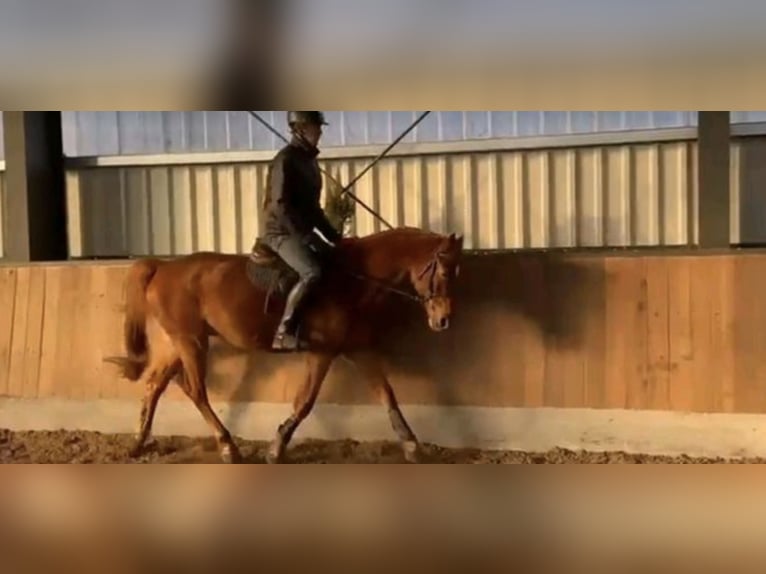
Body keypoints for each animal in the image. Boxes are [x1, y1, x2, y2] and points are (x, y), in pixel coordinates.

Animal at [106, 227, 468, 466]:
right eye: (443, 271)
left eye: (456, 272)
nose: (443, 320)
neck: (353, 279)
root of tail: (163, 267)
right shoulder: (322, 352)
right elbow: (305, 401)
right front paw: (276, 448)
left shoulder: (358, 349)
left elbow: (387, 394)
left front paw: (412, 447)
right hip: (191, 341)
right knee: (195, 390)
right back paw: (228, 448)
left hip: (176, 342)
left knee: (154, 384)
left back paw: (138, 444)